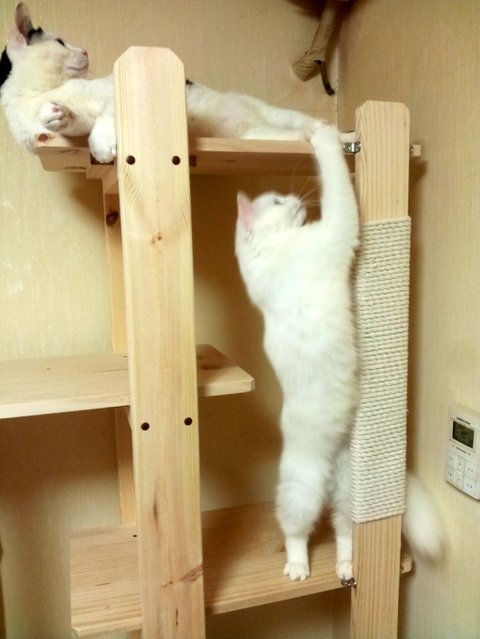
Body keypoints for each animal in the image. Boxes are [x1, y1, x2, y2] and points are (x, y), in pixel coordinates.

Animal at [1, 3, 347, 164]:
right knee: (298, 135)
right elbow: (78, 121)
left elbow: (106, 117)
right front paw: (58, 115)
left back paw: (339, 133)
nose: (86, 50)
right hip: (262, 136)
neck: (37, 93)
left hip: (281, 115)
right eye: (61, 42)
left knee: (320, 127)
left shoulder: (116, 93)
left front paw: (101, 144)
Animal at [235, 122, 447, 581]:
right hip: (302, 490)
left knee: (345, 531)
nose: (295, 200)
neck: (267, 254)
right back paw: (298, 568)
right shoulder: (336, 229)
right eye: (277, 202)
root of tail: (333, 469)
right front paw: (323, 135)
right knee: (295, 530)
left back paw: (347, 567)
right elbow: (335, 178)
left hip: (351, 492)